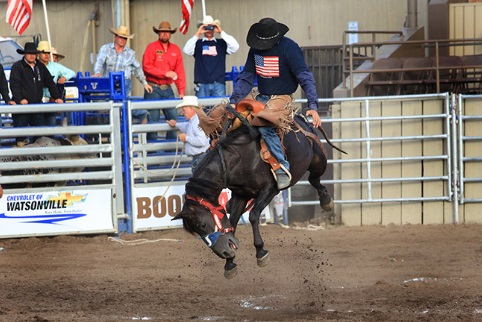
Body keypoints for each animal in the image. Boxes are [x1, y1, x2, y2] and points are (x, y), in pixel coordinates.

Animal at [173, 109, 342, 280]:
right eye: (196, 231)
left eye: (202, 224)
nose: (223, 252)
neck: (236, 159)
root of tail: (298, 116)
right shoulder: (241, 195)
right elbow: (233, 222)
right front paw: (230, 262)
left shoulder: (269, 190)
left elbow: (253, 216)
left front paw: (260, 252)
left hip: (318, 160)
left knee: (314, 179)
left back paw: (326, 201)